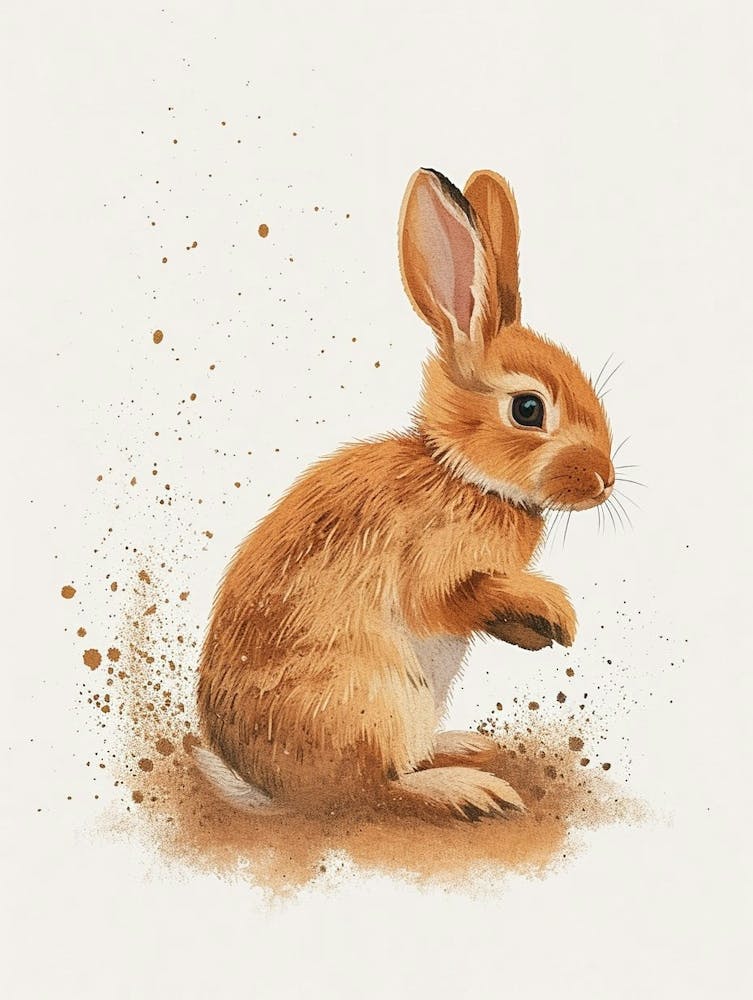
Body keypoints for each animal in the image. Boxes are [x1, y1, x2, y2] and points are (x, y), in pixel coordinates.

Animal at [195, 167, 615, 820]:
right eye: (528, 409)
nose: (605, 480)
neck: (459, 473)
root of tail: (266, 785)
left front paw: (538, 630)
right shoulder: (430, 562)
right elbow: (448, 600)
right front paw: (556, 612)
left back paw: (462, 745)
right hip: (378, 694)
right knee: (374, 788)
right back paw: (468, 790)